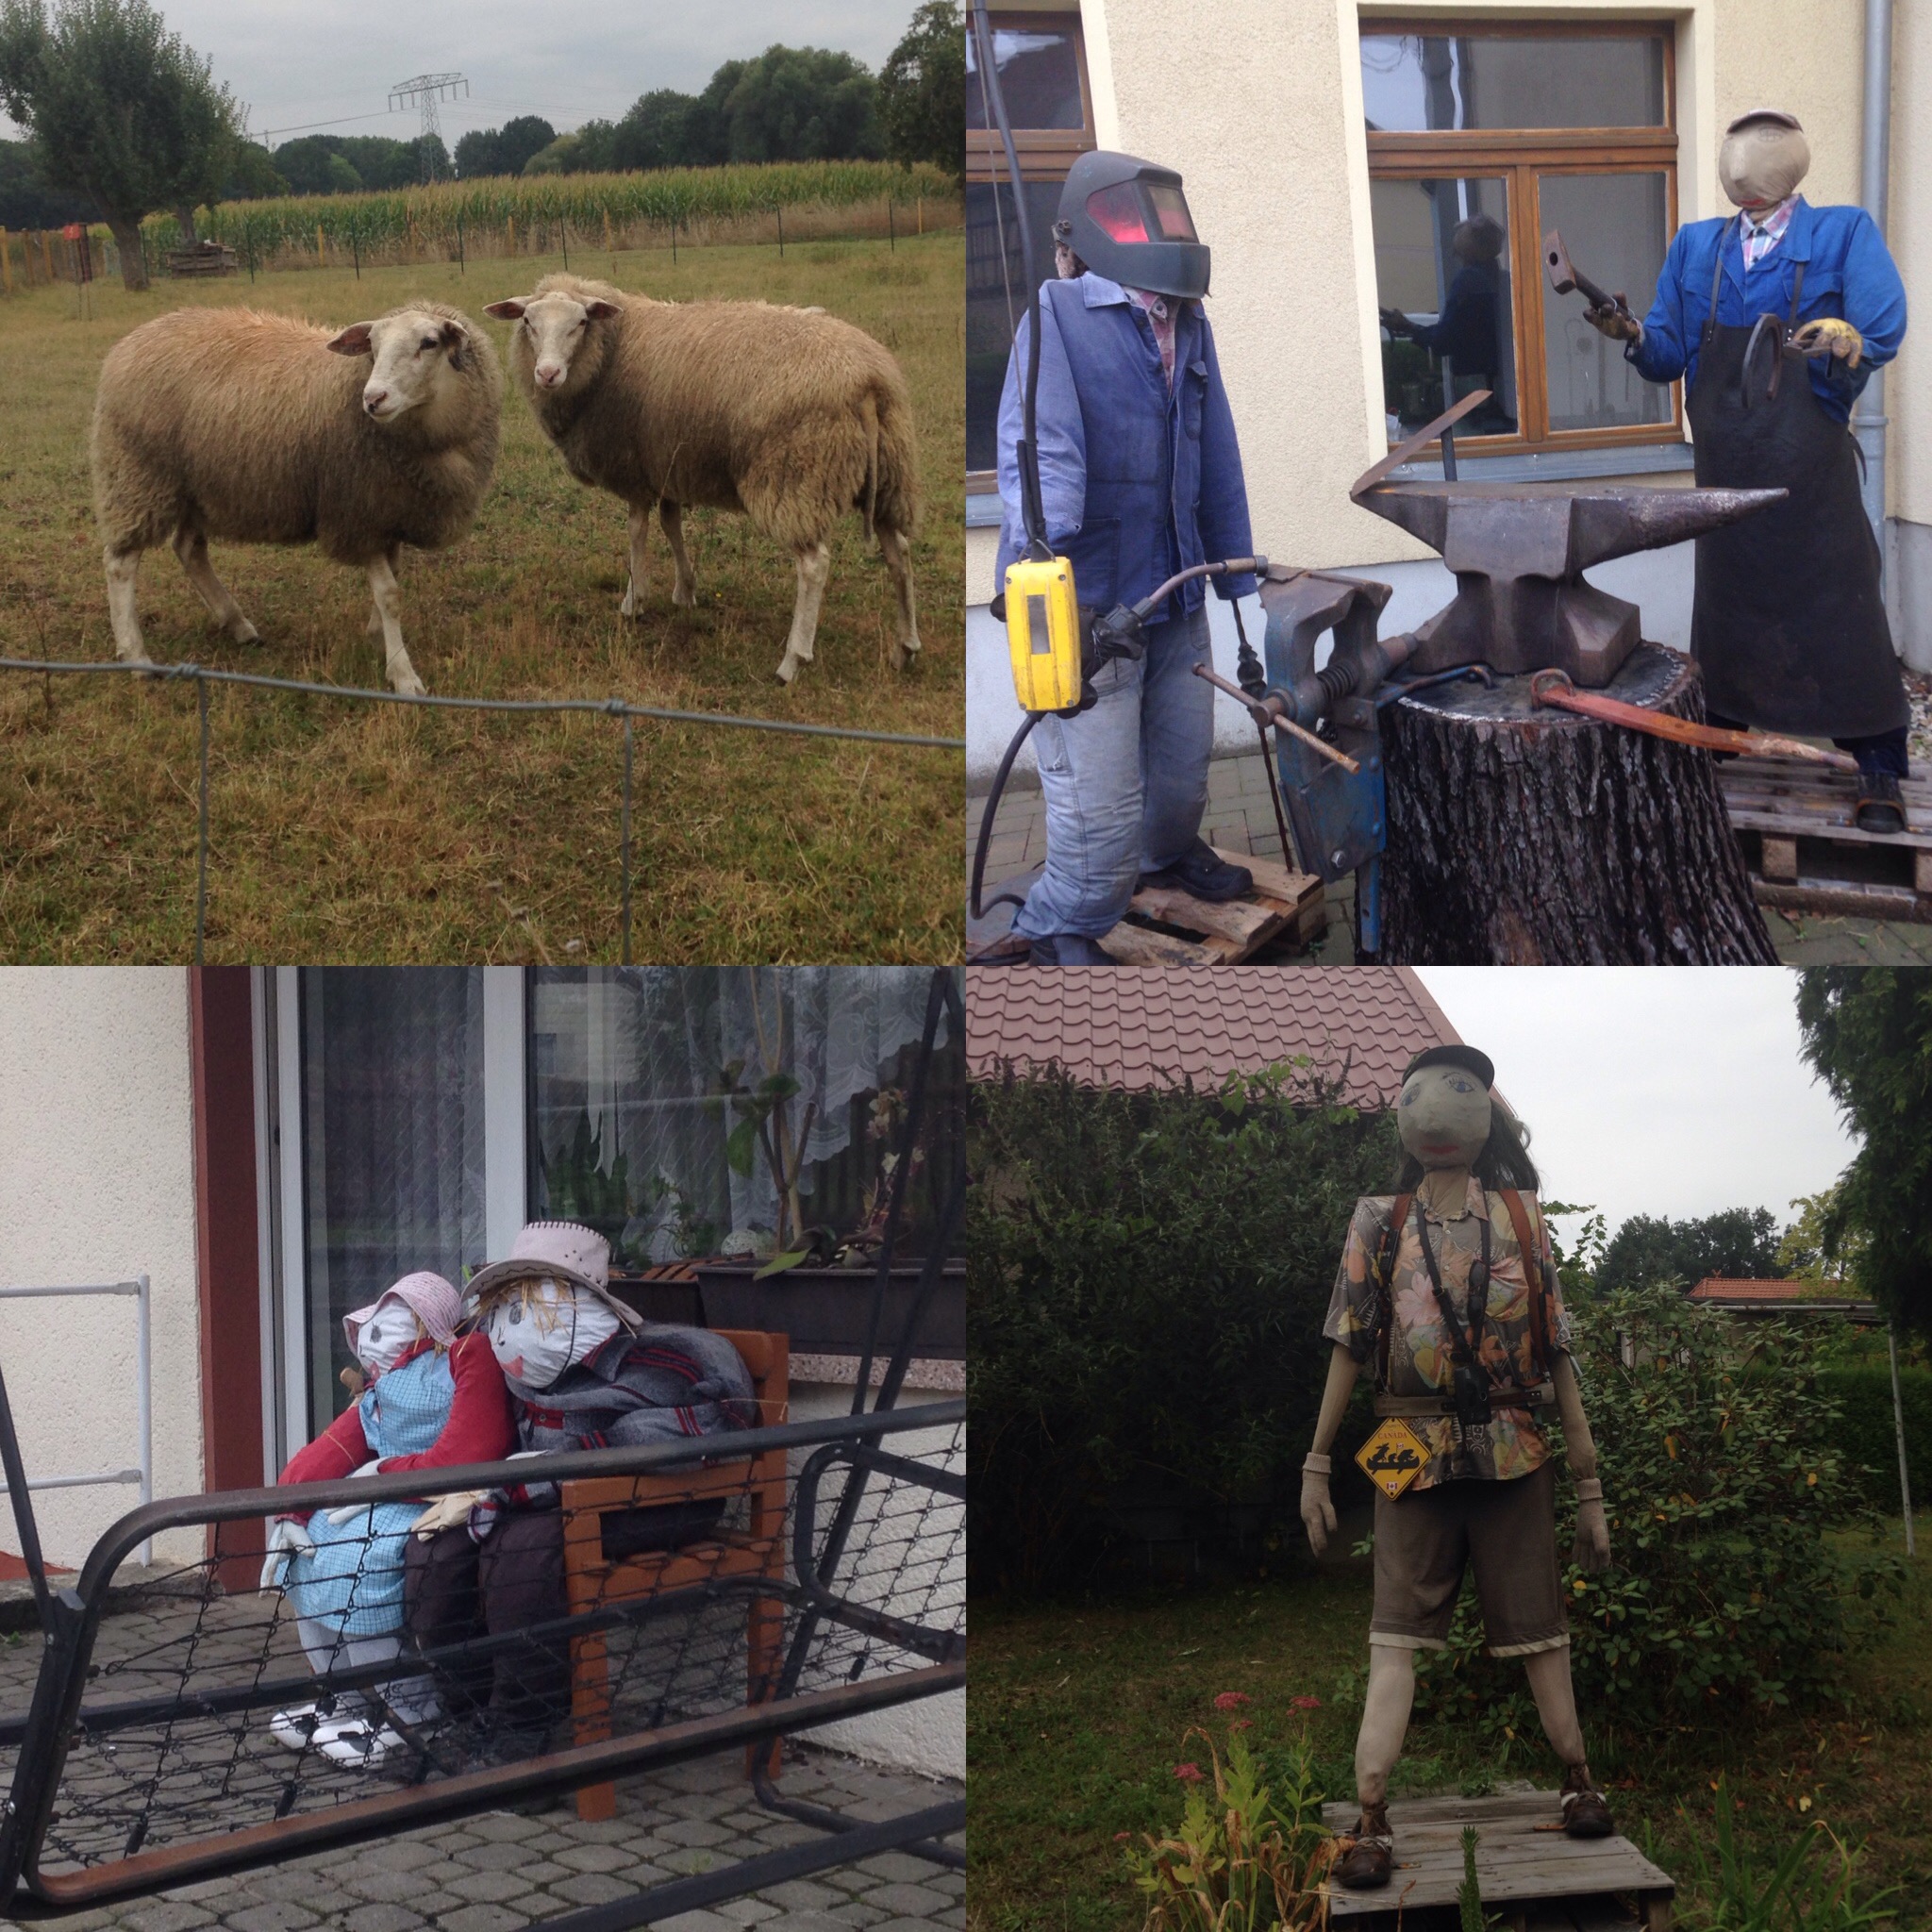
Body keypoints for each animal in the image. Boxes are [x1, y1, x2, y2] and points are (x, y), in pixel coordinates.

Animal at [91, 301, 502, 695]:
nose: (373, 399)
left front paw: (376, 637)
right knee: (120, 564)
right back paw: (137, 657)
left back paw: (238, 625)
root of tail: (131, 341)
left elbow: (392, 580)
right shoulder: (356, 515)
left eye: (429, 343)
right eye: (372, 345)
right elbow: (389, 594)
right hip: (138, 477)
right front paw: (402, 673)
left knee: (189, 549)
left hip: (196, 485)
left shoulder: (389, 513)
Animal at [491, 275, 927, 683]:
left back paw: (792, 661)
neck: (611, 350)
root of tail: (867, 381)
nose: (547, 374)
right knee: (899, 552)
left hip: (796, 476)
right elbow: (671, 525)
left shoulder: (633, 467)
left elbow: (637, 531)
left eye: (581, 322)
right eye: (527, 322)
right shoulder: (667, 462)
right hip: (890, 475)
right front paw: (685, 590)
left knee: (814, 564)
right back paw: (905, 648)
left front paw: (634, 601)